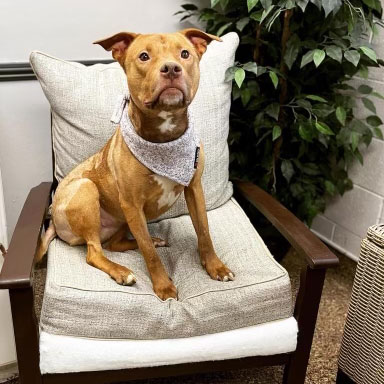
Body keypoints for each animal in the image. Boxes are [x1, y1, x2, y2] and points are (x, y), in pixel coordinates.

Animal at [36, 29, 234, 300]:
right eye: (143, 56)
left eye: (185, 54)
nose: (171, 68)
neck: (164, 139)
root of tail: (54, 222)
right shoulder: (132, 205)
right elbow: (148, 253)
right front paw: (163, 287)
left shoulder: (194, 189)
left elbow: (203, 231)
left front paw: (215, 267)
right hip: (87, 189)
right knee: (95, 252)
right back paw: (122, 271)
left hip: (120, 220)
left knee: (116, 244)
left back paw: (154, 241)